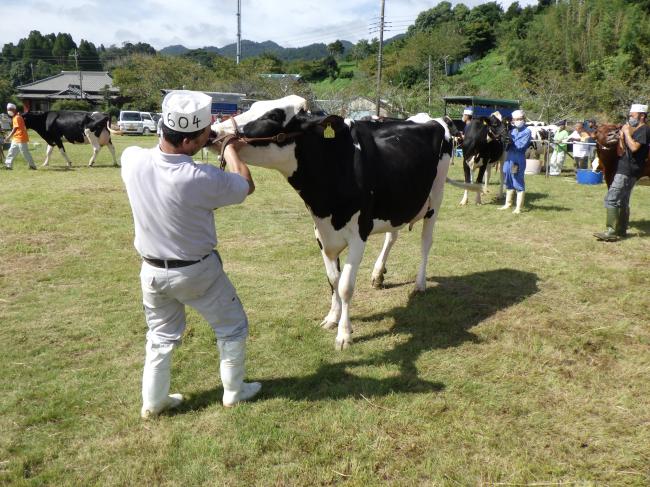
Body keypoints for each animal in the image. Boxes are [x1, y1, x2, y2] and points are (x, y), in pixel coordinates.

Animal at [210, 96, 478, 350]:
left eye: (274, 115)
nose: (214, 131)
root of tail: (432, 118)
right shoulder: (321, 233)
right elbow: (333, 280)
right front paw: (332, 318)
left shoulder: (359, 234)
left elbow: (346, 286)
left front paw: (344, 334)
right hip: (396, 204)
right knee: (392, 235)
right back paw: (378, 274)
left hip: (435, 198)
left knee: (426, 242)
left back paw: (420, 283)